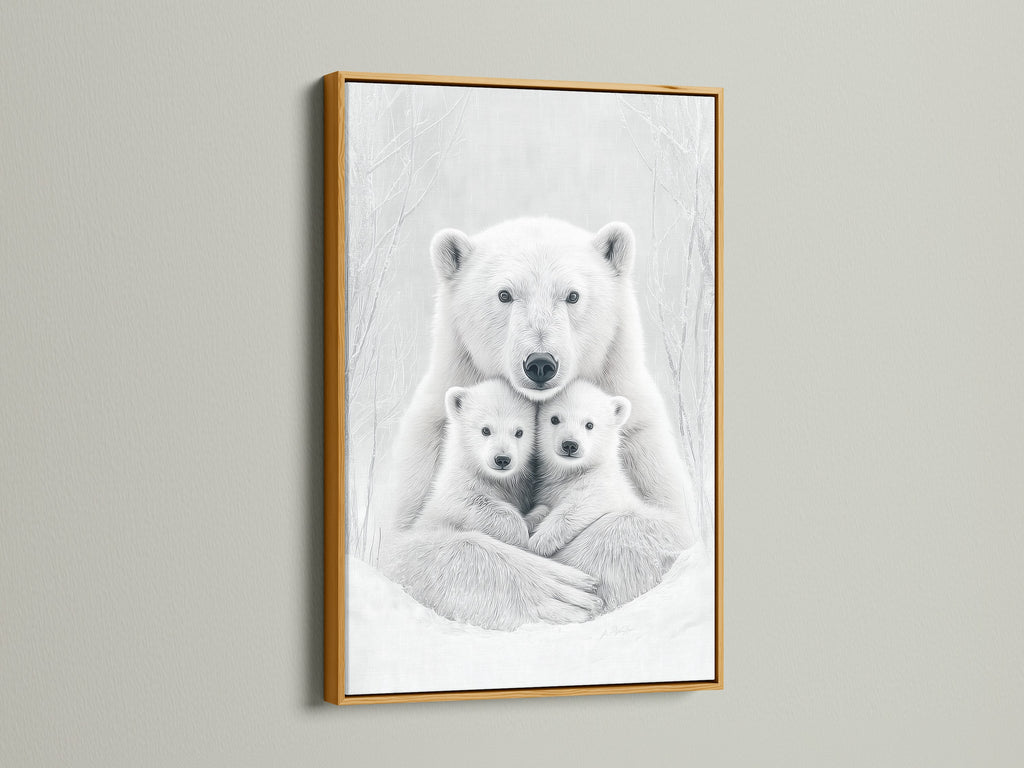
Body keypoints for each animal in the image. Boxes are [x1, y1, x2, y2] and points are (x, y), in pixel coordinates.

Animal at [417, 379, 534, 549]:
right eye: (485, 430)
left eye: (519, 432)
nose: (502, 459)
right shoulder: (460, 481)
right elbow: (468, 501)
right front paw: (521, 535)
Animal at [527, 380, 685, 609]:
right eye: (554, 419)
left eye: (589, 424)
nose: (570, 445)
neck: (573, 472)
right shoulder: (549, 489)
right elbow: (543, 506)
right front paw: (531, 521)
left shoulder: (604, 485)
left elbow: (581, 504)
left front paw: (539, 542)